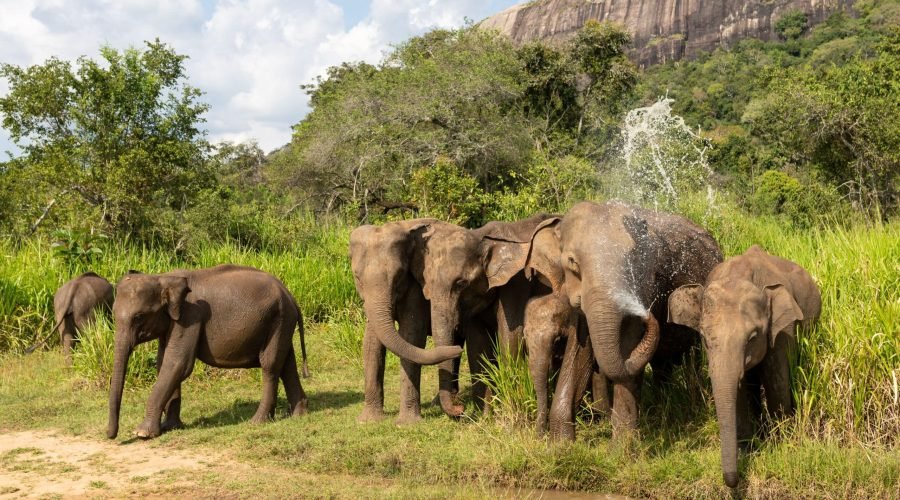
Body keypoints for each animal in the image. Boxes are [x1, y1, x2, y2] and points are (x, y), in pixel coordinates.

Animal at [107, 264, 309, 439]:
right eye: (113, 314)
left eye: (139, 317)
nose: (111, 436)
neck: (163, 278)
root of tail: (291, 296)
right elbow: (164, 362)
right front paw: (169, 427)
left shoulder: (190, 316)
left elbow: (178, 363)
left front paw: (142, 433)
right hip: (281, 321)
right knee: (287, 364)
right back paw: (298, 414)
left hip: (278, 319)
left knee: (270, 365)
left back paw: (257, 422)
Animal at [526, 201, 723, 440]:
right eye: (573, 262)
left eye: (633, 263)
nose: (649, 314)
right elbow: (579, 350)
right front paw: (561, 443)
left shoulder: (646, 286)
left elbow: (627, 344)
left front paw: (622, 446)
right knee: (662, 364)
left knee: (693, 358)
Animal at [667, 245, 821, 488]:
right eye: (704, 338)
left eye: (752, 337)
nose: (733, 481)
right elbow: (737, 391)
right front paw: (747, 449)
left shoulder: (782, 330)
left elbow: (776, 381)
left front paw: (780, 444)